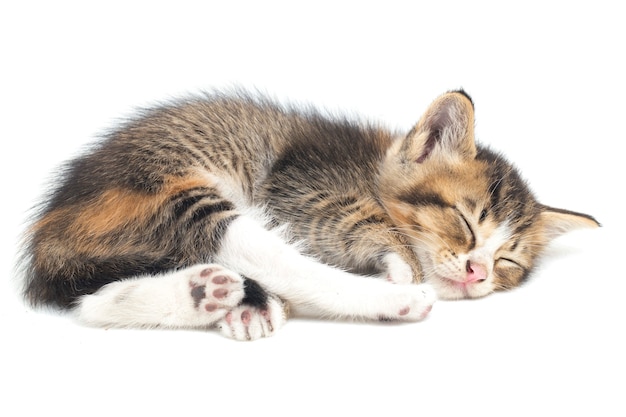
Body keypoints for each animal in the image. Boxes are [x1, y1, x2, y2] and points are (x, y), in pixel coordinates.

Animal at [18, 89, 596, 340]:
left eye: (508, 263)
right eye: (466, 221)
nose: (478, 272)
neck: (369, 167)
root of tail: (49, 232)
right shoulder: (300, 185)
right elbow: (367, 226)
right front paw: (401, 266)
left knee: (94, 303)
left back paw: (213, 295)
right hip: (171, 194)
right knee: (275, 256)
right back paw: (394, 299)